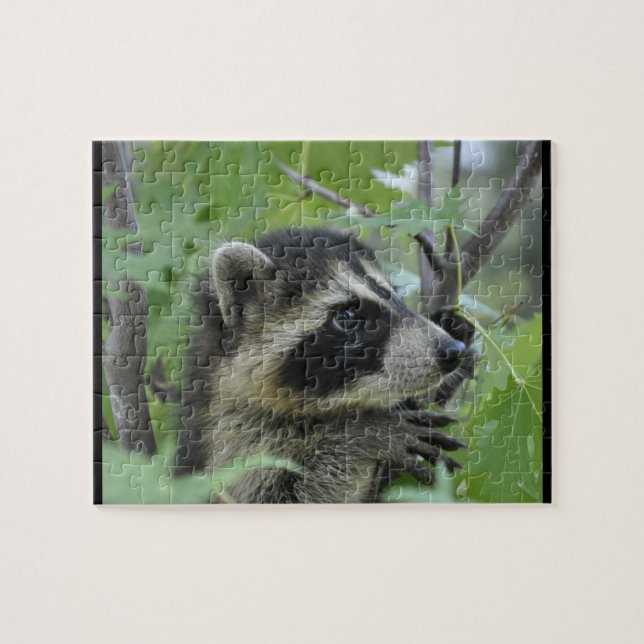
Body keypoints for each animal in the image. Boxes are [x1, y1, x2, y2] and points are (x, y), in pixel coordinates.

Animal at [176, 227, 475, 503]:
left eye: (396, 297)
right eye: (347, 315)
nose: (452, 351)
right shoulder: (232, 442)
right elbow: (282, 495)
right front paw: (361, 435)